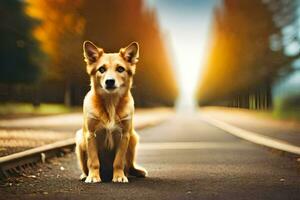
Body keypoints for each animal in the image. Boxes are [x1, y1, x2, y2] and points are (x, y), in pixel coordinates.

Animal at [75, 41, 147, 184]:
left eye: (120, 69)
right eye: (101, 69)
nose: (109, 81)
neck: (110, 104)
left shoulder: (124, 135)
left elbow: (118, 161)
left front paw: (119, 176)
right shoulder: (90, 135)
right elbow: (93, 161)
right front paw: (93, 176)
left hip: (133, 138)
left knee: (129, 166)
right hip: (80, 138)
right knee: (85, 166)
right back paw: (85, 175)